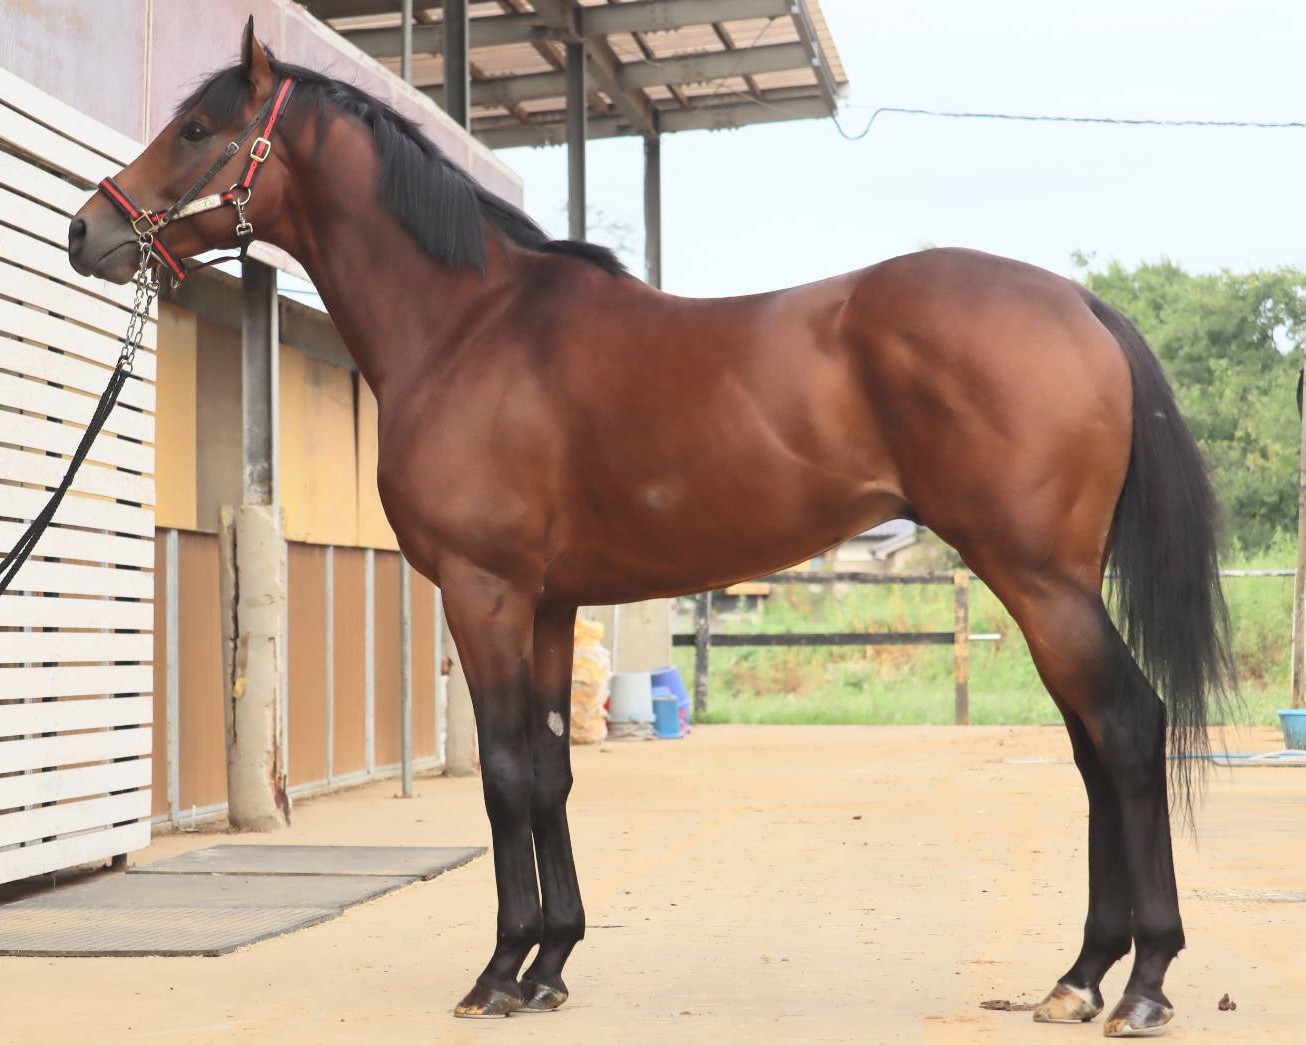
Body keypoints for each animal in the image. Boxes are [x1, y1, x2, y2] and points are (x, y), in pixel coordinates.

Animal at [67, 19, 1234, 1036]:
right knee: (1092, 746)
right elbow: (548, 772)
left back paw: (1142, 985)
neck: (468, 327)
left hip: (1037, 578)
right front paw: (550, 963)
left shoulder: (484, 593)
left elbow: (504, 774)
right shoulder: (548, 604)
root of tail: (1081, 306)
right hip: (1046, 583)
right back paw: (1081, 974)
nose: (90, 230)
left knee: (1128, 727)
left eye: (199, 129)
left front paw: (498, 971)